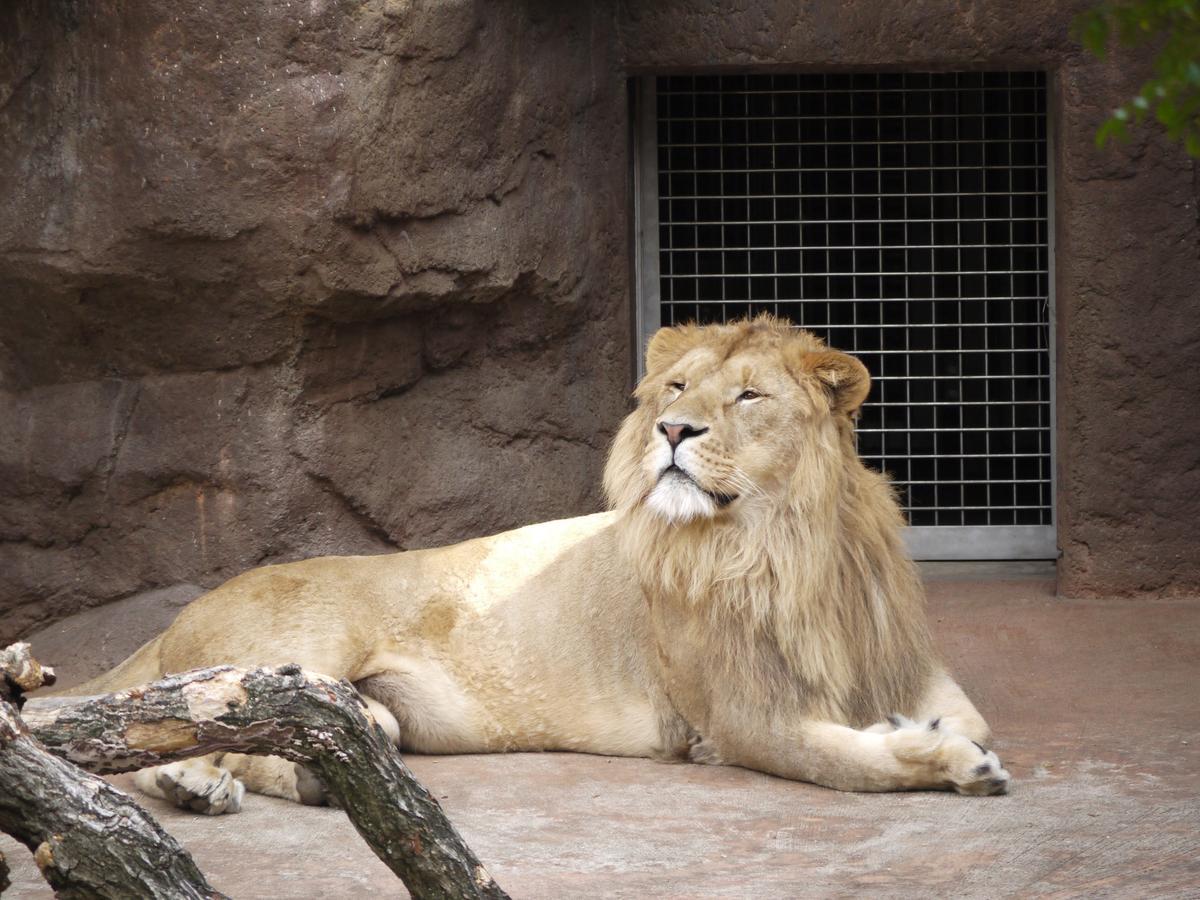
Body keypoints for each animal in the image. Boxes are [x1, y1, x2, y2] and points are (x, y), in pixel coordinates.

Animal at [60, 319, 1008, 816]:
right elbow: (845, 764)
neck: (782, 545)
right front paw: (946, 764)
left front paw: (932, 736)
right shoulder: (738, 718)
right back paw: (195, 783)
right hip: (279, 668)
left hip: (364, 713)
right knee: (157, 739)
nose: (673, 431)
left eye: (748, 396)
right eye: (677, 390)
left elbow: (966, 720)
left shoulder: (905, 665)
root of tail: (183, 613)